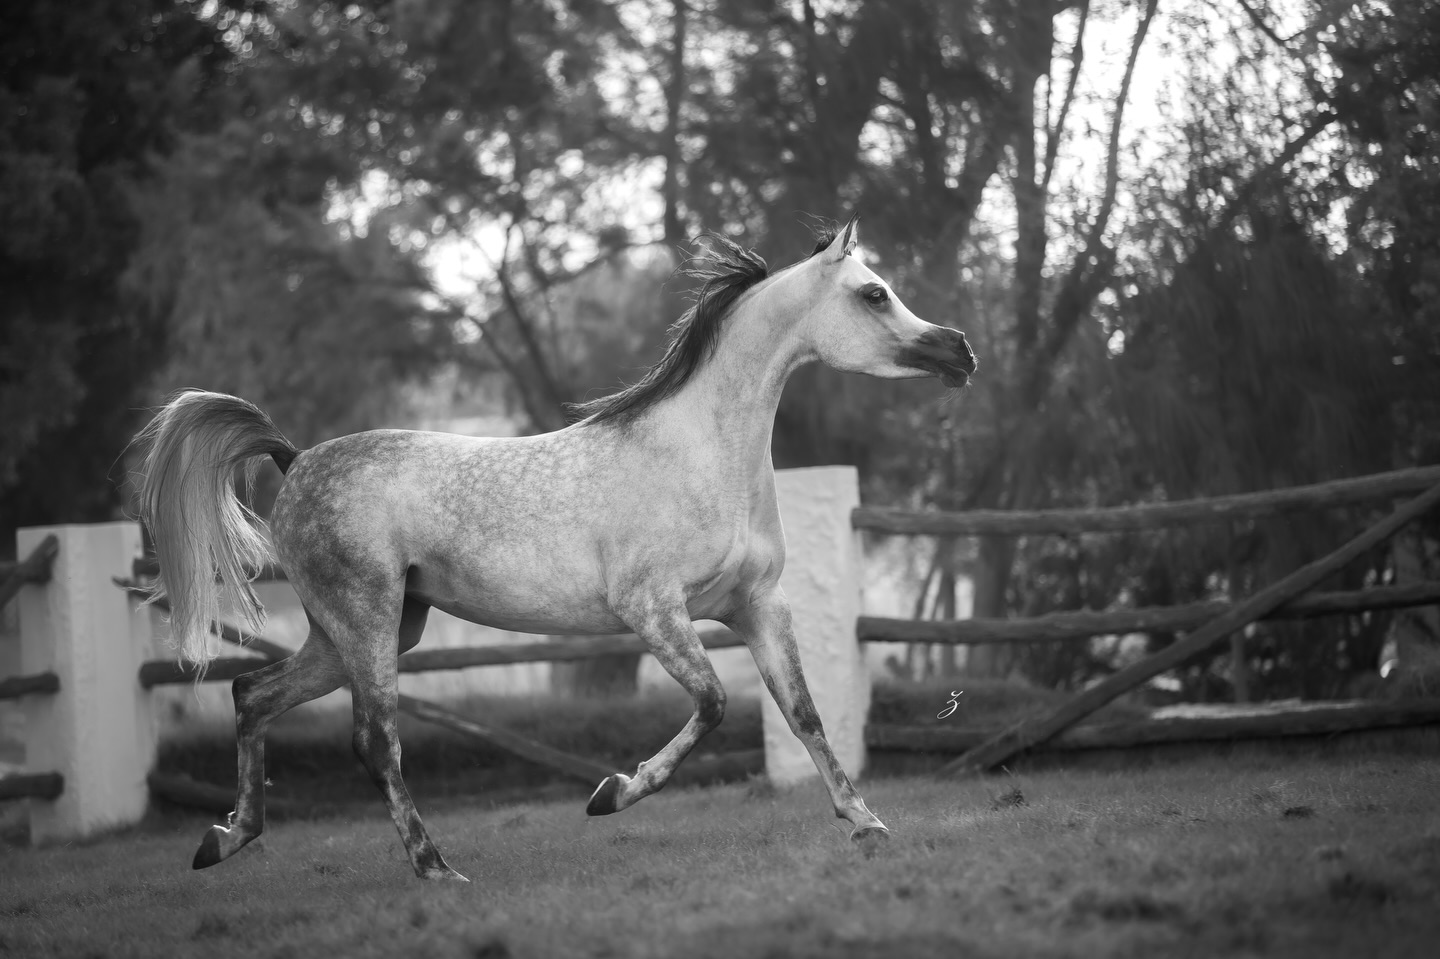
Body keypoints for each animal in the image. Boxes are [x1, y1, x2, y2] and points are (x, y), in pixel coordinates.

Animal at [133, 215, 977, 881]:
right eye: (873, 294)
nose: (960, 351)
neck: (699, 452)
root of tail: (295, 457)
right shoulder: (653, 609)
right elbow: (712, 703)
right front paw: (613, 793)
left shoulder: (757, 605)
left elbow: (803, 713)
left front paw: (866, 821)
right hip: (366, 621)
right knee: (374, 740)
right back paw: (435, 868)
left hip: (362, 630)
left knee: (252, 695)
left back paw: (225, 838)